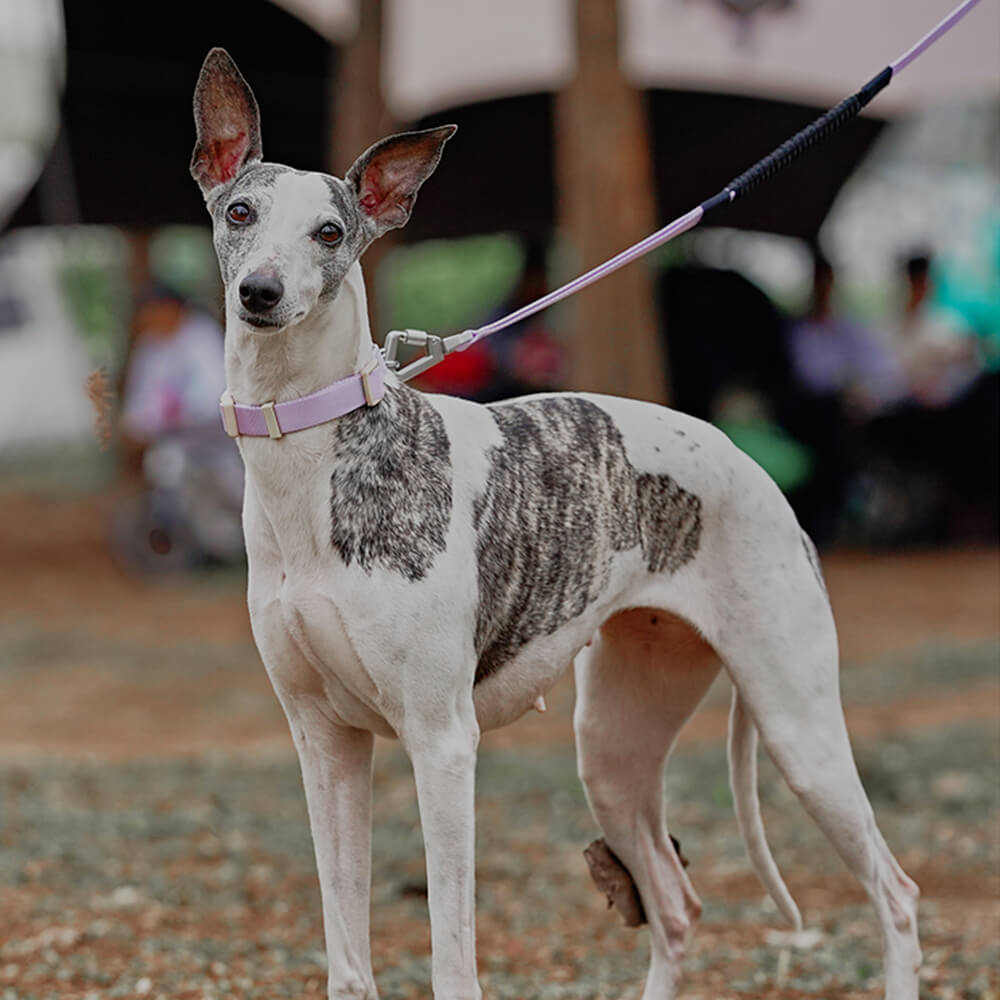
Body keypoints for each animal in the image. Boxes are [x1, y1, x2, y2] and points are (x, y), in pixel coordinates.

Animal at [189, 48, 920, 1000]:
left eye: (329, 233)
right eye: (240, 212)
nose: (261, 293)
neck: (310, 452)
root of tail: (750, 463)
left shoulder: (442, 743)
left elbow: (452, 960)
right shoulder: (326, 744)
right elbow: (349, 963)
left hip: (801, 728)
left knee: (893, 893)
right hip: (611, 745)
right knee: (675, 902)